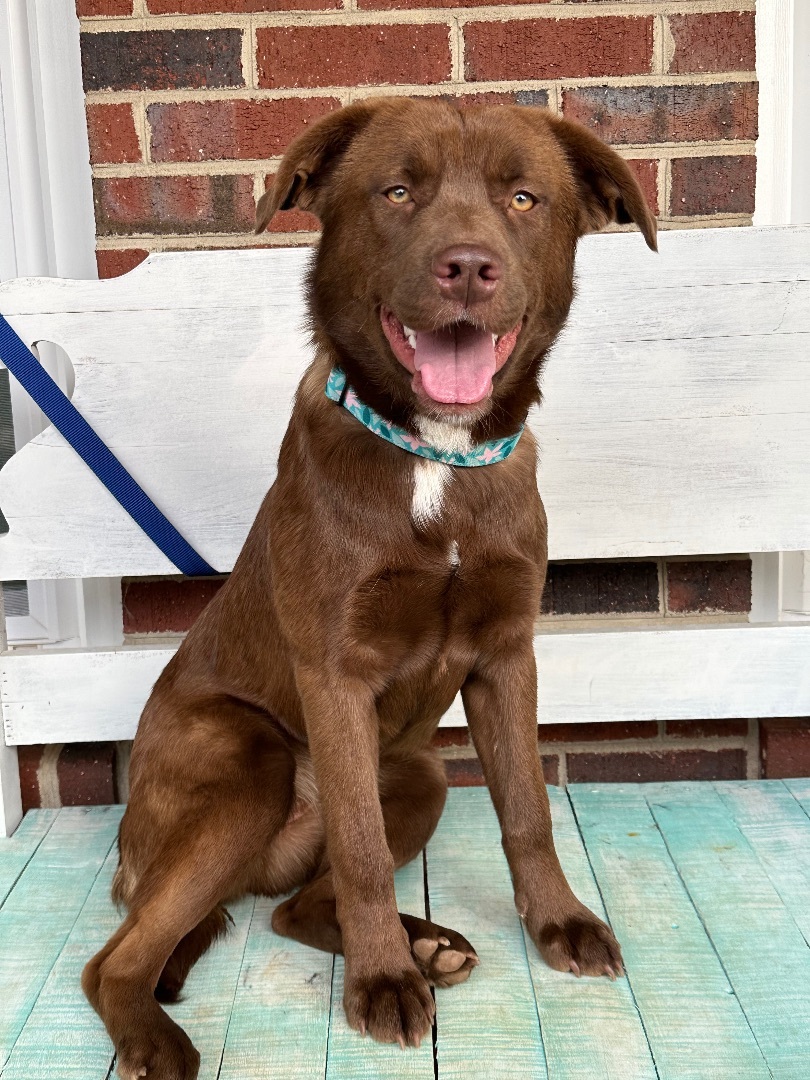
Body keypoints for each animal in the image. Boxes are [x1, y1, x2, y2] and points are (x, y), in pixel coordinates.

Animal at [81, 97, 660, 1075]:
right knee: (118, 958)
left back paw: (426, 942)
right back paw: (162, 1037)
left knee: (294, 907)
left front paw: (559, 924)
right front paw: (383, 982)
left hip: (419, 772)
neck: (436, 457)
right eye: (397, 192)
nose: (467, 267)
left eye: (523, 198)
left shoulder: (507, 653)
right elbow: (358, 848)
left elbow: (528, 810)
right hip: (251, 764)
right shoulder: (335, 672)